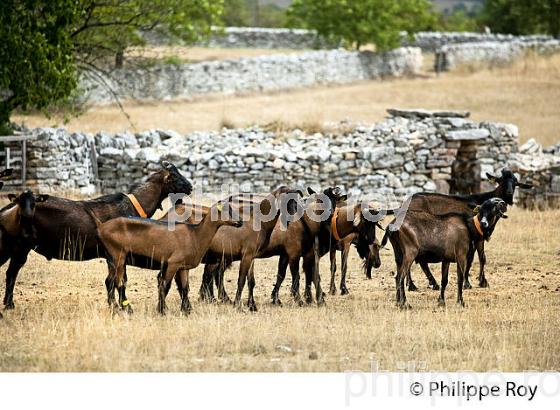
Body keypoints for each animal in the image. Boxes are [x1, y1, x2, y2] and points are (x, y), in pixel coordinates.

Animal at [0, 162, 192, 310]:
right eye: (174, 177)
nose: (190, 187)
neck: (132, 205)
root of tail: (11, 206)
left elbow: (110, 281)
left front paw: (113, 305)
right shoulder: (116, 255)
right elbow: (118, 281)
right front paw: (123, 306)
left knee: (11, 273)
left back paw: (9, 305)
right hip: (19, 246)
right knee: (11, 273)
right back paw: (9, 305)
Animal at [91, 202, 242, 314]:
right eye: (226, 211)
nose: (240, 222)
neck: (194, 235)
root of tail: (101, 225)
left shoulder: (183, 267)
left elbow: (185, 288)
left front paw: (186, 311)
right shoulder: (173, 263)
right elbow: (165, 286)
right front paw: (162, 310)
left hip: (112, 259)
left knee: (109, 281)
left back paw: (114, 307)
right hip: (118, 256)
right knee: (119, 283)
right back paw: (128, 309)